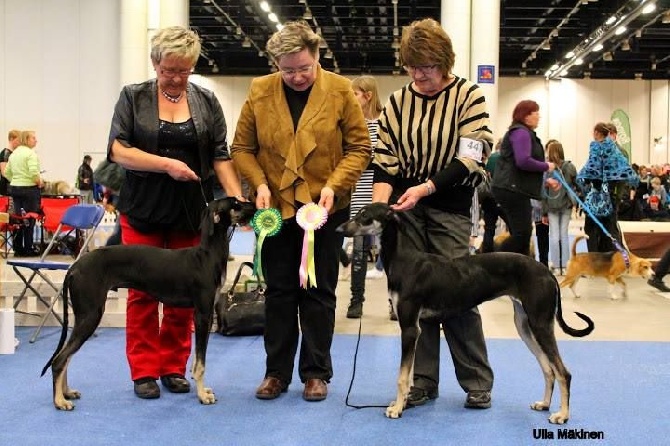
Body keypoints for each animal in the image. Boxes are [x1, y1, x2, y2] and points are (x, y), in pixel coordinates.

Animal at [42, 199, 258, 412]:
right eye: (236, 204)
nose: (256, 204)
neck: (207, 256)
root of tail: (73, 268)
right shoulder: (202, 315)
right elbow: (201, 362)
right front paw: (203, 395)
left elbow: (197, 360)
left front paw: (203, 390)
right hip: (90, 315)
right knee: (60, 359)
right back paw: (59, 401)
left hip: (83, 316)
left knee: (65, 356)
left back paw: (66, 393)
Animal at [338, 204, 596, 424]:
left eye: (364, 214)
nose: (340, 228)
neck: (404, 260)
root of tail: (547, 272)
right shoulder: (414, 327)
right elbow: (408, 373)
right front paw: (401, 403)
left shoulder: (410, 327)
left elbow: (402, 376)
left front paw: (397, 409)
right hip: (525, 325)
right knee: (548, 368)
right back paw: (544, 404)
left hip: (541, 324)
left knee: (563, 372)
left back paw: (562, 415)